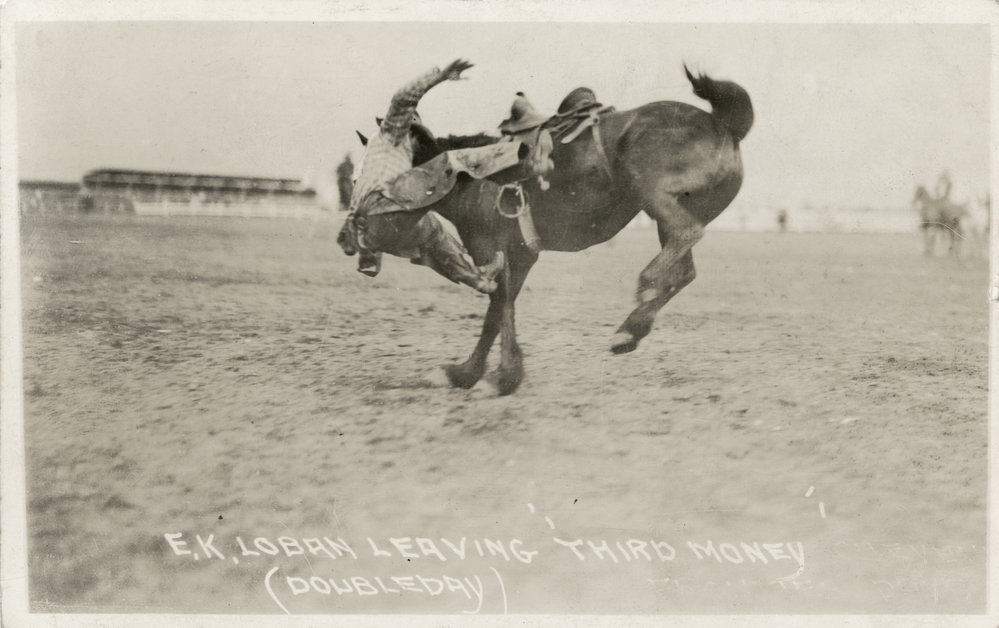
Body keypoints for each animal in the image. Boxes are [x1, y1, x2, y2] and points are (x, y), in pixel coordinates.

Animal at [340, 66, 752, 394]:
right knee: (685, 269)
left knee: (685, 236)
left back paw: (643, 292)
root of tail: (724, 124)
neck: (472, 176)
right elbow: (497, 313)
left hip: (652, 194)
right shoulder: (520, 257)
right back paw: (631, 329)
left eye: (376, 175)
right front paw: (467, 374)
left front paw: (497, 378)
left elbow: (499, 307)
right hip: (675, 210)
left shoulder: (494, 251)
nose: (349, 233)